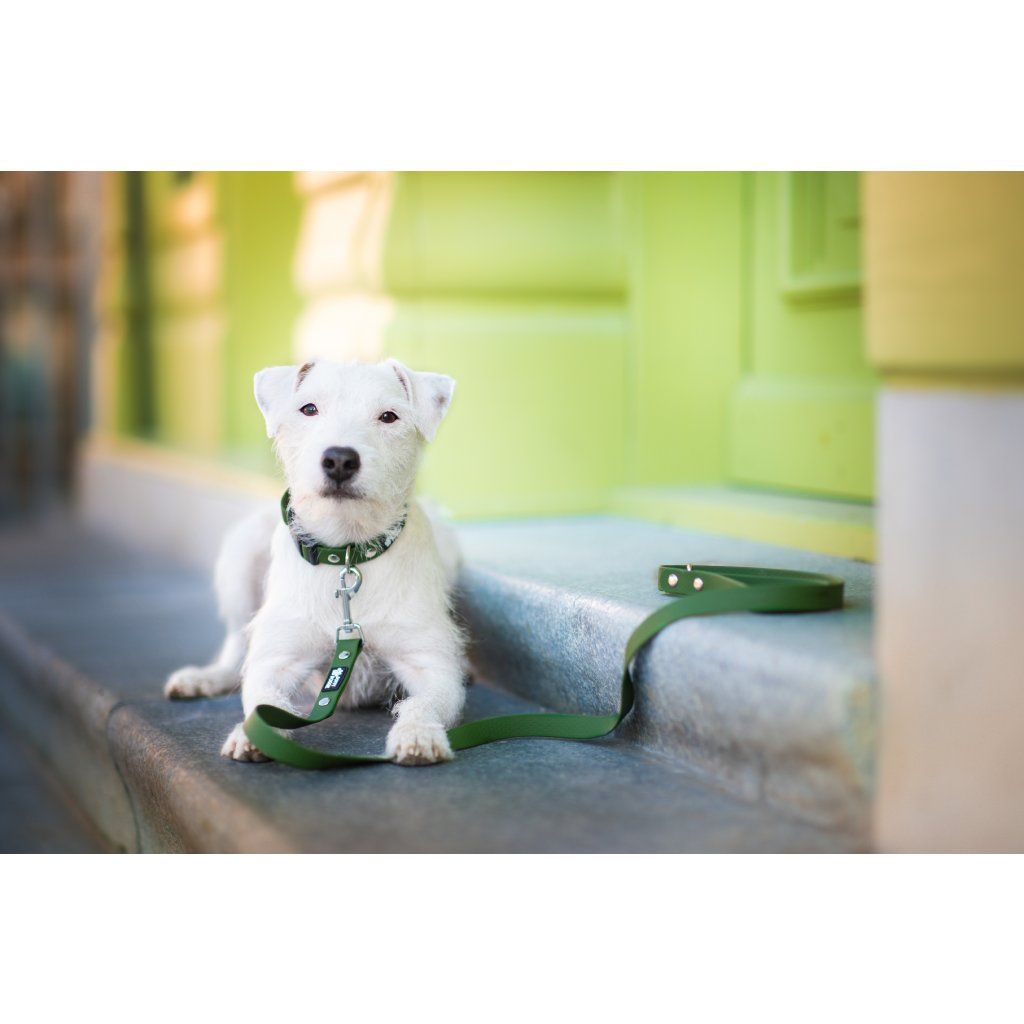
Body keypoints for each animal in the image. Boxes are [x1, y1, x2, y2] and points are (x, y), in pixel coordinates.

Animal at [164, 357, 466, 765]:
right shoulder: (276, 662)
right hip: (240, 556)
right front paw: (252, 735)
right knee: (236, 647)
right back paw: (204, 677)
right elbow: (263, 698)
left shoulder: (432, 667)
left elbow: (425, 703)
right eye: (309, 409)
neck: (348, 555)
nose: (339, 458)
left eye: (389, 416)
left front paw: (418, 733)